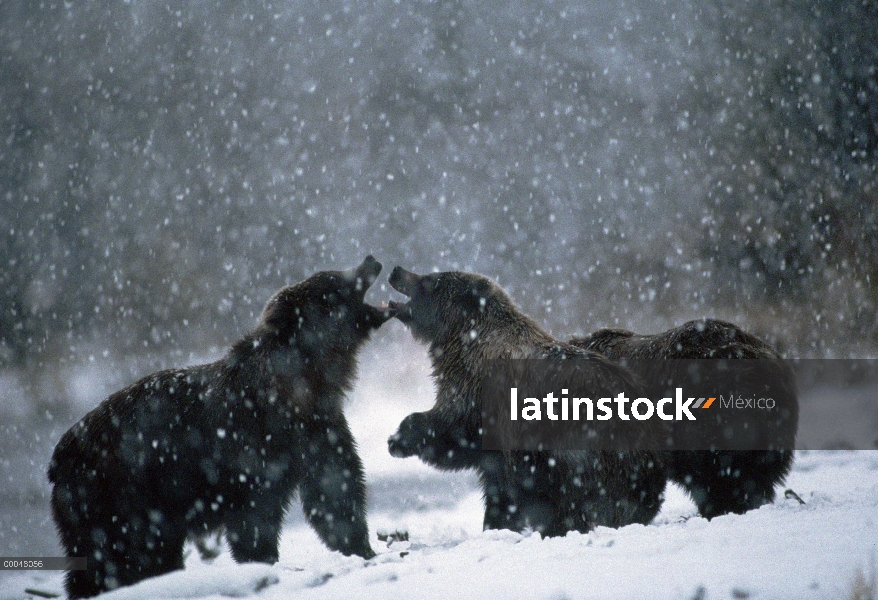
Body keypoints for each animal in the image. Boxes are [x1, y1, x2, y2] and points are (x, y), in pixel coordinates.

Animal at [48, 255, 390, 596]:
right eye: (333, 281)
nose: (370, 261)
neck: (301, 389)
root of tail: (59, 457)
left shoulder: (320, 430)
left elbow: (335, 491)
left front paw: (361, 548)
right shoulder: (250, 447)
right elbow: (255, 518)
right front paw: (261, 563)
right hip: (115, 494)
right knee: (113, 553)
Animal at [384, 268, 668, 536]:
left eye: (430, 280)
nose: (396, 271)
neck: (463, 342)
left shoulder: (486, 399)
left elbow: (455, 429)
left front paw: (400, 437)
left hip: (580, 443)